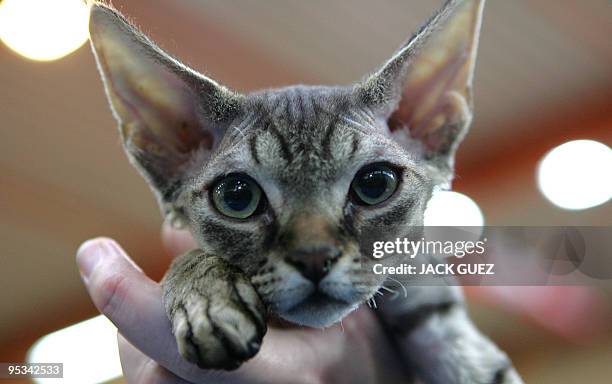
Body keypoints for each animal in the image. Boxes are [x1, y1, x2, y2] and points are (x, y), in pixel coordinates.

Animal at [88, 0, 524, 382]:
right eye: (237, 197)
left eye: (375, 185)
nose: (314, 258)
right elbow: (191, 255)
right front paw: (206, 295)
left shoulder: (435, 305)